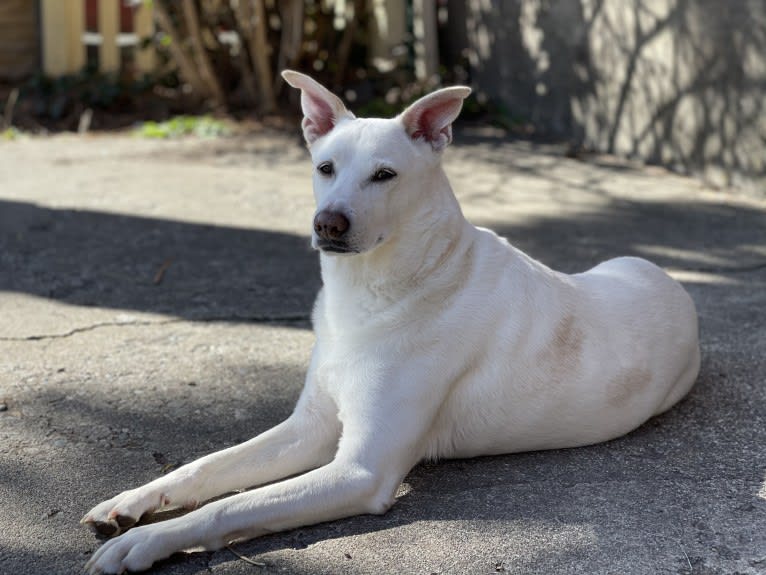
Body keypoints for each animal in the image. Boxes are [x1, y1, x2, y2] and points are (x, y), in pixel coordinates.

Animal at [84, 71, 704, 572]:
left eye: (385, 175)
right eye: (324, 167)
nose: (328, 224)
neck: (379, 289)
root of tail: (672, 281)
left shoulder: (360, 470)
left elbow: (230, 506)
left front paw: (147, 542)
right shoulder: (309, 428)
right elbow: (207, 468)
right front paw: (133, 502)